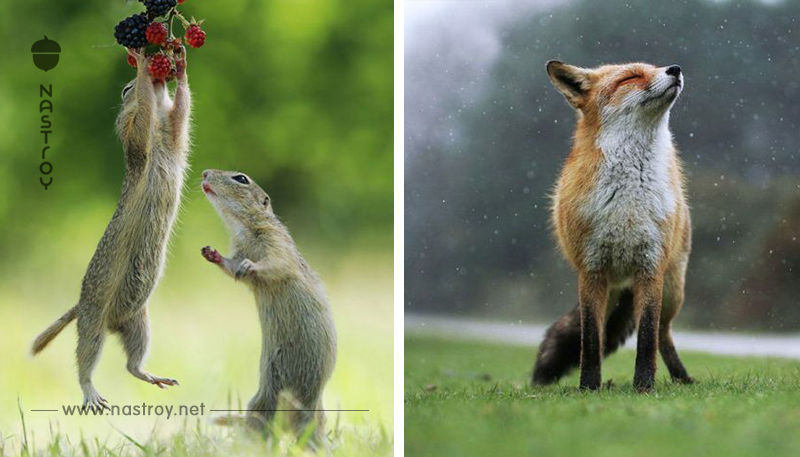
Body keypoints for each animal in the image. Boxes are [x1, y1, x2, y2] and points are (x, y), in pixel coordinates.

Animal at [30, 48, 193, 408]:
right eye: (124, 89)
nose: (160, 76)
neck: (159, 137)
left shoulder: (174, 136)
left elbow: (181, 112)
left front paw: (180, 66)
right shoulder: (134, 136)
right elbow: (142, 116)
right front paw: (145, 68)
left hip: (139, 322)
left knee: (132, 365)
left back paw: (152, 375)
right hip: (93, 322)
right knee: (85, 357)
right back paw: (90, 391)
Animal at [202, 169, 340, 444]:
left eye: (241, 179)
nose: (204, 173)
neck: (242, 227)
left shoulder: (276, 241)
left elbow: (276, 263)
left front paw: (251, 265)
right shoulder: (240, 251)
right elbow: (233, 267)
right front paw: (212, 254)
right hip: (264, 402)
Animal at [532, 59, 692, 388]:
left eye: (655, 67)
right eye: (630, 77)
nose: (675, 68)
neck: (627, 202)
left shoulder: (650, 266)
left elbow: (646, 337)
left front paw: (644, 386)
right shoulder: (591, 270)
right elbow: (591, 339)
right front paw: (589, 387)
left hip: (672, 289)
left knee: (662, 333)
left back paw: (682, 379)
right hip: (610, 287)